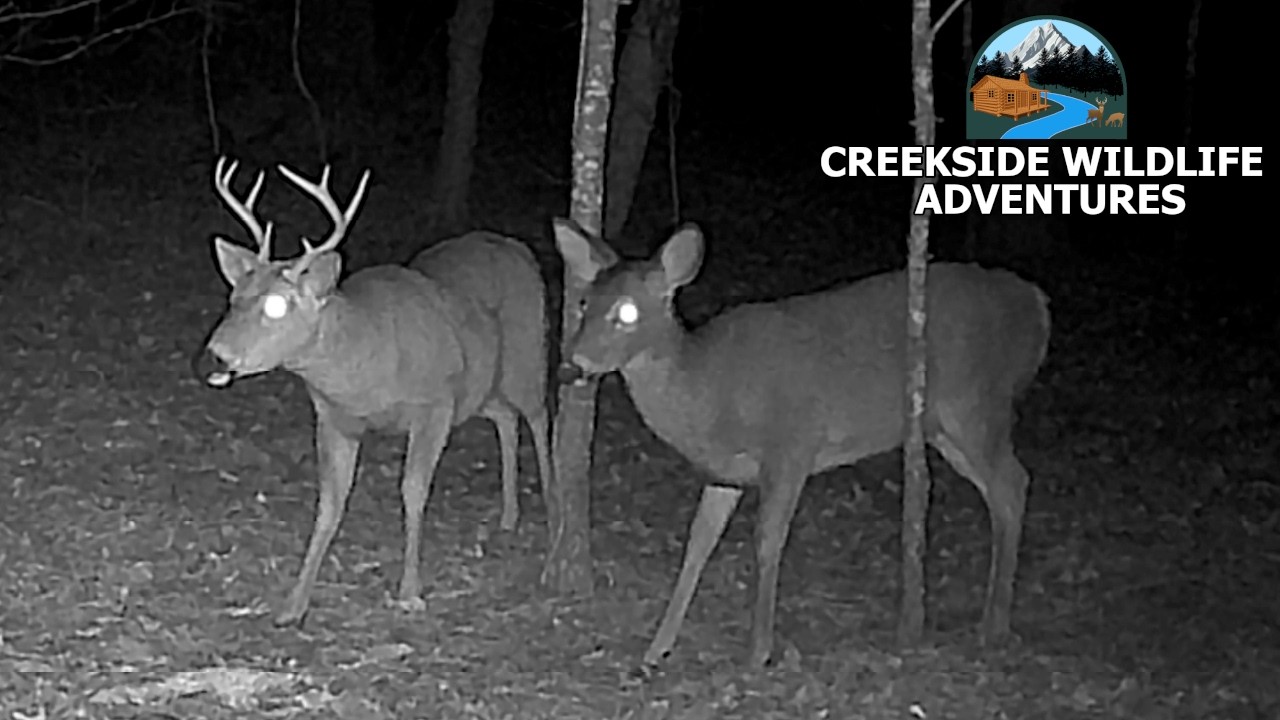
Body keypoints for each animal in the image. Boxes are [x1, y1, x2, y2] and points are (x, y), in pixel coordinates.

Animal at [196, 157, 554, 626]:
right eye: (235, 294)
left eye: (277, 304)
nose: (216, 357)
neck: (368, 363)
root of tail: (518, 247)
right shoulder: (334, 418)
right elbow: (330, 502)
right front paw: (293, 604)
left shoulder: (435, 403)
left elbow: (413, 490)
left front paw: (409, 591)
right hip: (482, 384)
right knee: (506, 417)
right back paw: (510, 516)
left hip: (526, 352)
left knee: (540, 416)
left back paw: (557, 514)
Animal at [554, 220, 1051, 667]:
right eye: (583, 303)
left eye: (627, 312)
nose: (570, 365)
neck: (711, 390)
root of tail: (1038, 303)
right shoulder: (726, 472)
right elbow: (698, 543)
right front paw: (657, 647)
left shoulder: (792, 444)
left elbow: (767, 540)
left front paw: (759, 651)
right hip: (947, 428)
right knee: (1008, 488)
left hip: (976, 404)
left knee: (1013, 483)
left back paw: (994, 625)